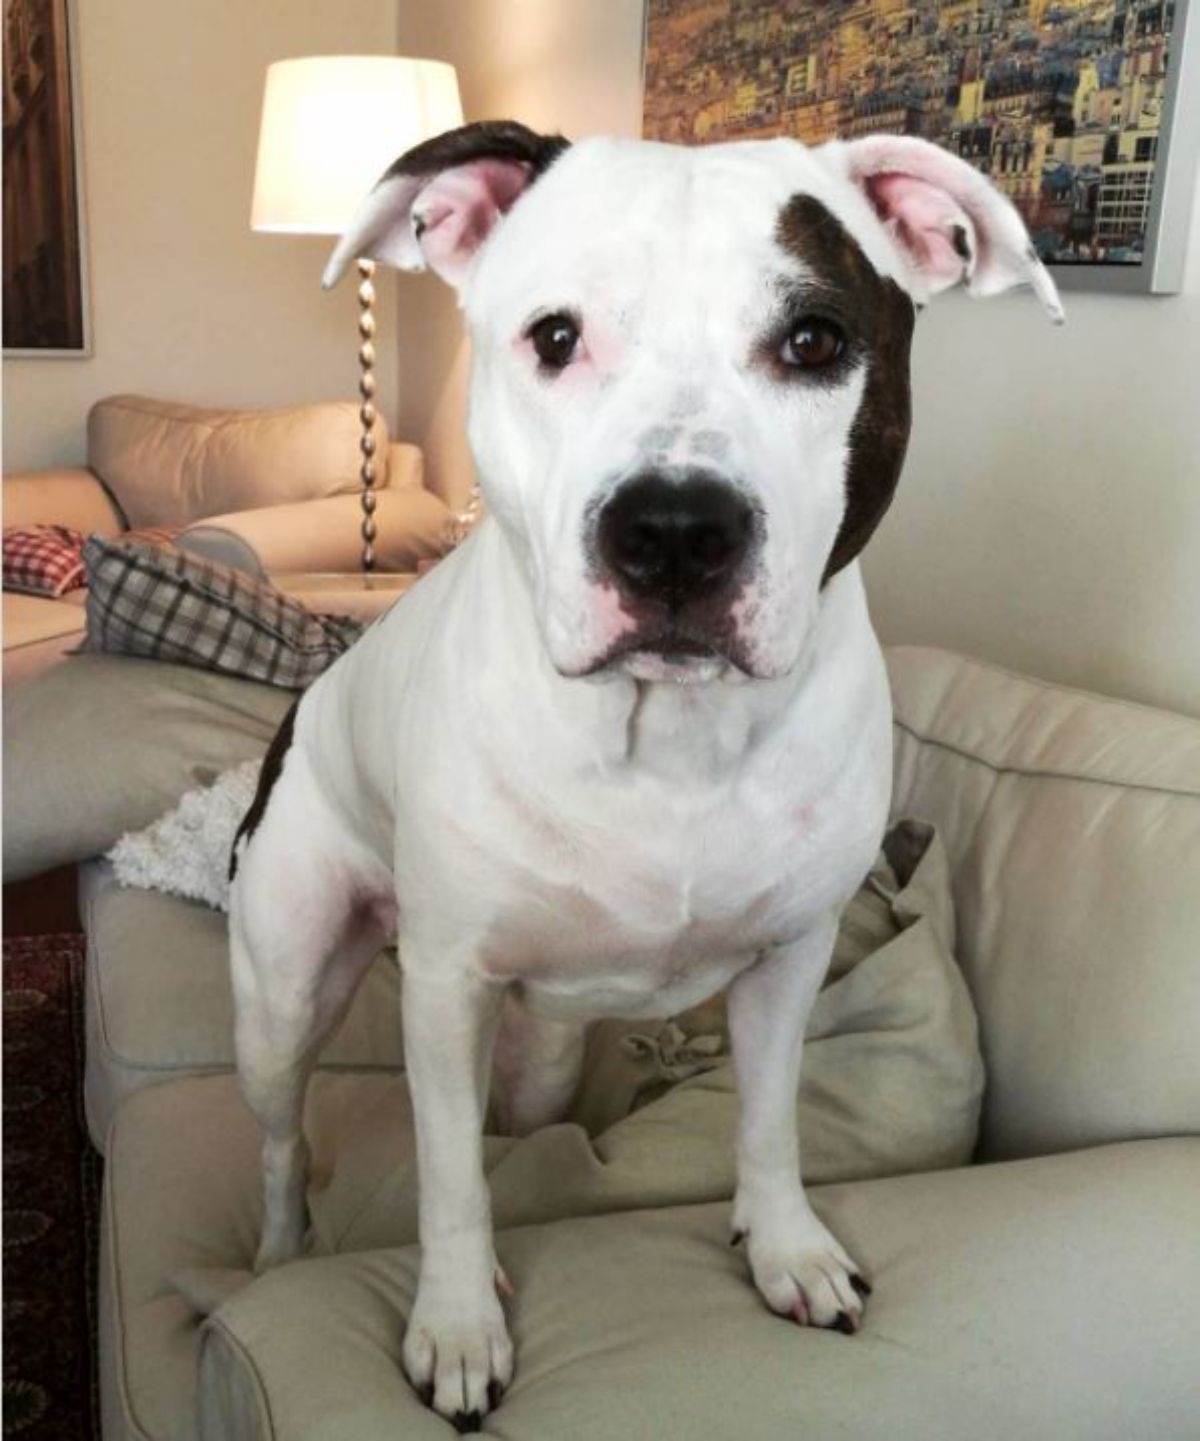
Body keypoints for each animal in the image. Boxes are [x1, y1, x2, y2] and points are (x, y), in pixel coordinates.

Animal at [227, 123, 1060, 1429]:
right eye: (555, 337)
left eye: (816, 340)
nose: (674, 530)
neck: (672, 739)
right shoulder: (444, 988)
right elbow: (450, 1177)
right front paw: (456, 1324)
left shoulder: (792, 961)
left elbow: (769, 1120)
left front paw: (788, 1247)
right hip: (282, 995)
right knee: (279, 1138)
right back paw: (278, 1251)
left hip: (541, 1044)